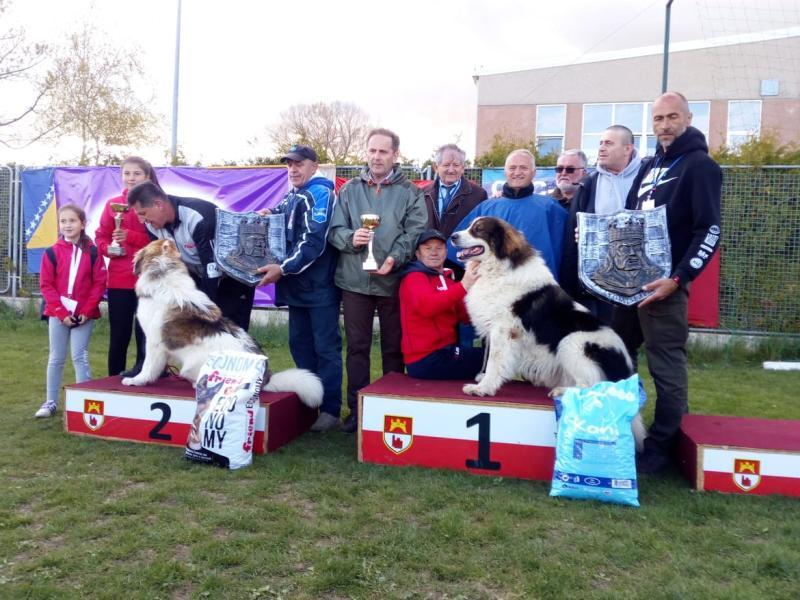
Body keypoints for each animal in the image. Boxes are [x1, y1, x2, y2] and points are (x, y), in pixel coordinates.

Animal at [122, 239, 322, 408]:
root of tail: (265, 379)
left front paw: (136, 380)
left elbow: (148, 366)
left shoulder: (154, 342)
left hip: (195, 365)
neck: (164, 274)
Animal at [454, 218, 648, 448]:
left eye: (478, 230)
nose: (453, 236)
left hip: (571, 342)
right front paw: (483, 378)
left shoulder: (503, 329)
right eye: (470, 226)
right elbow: (490, 357)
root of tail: (625, 370)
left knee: (592, 384)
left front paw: (483, 388)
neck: (499, 267)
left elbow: (494, 360)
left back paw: (562, 391)